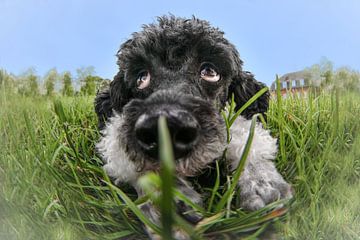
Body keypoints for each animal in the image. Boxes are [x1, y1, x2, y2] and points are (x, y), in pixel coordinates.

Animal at [94, 15, 292, 238]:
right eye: (141, 78)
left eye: (210, 72)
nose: (168, 129)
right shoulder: (112, 129)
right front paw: (168, 201)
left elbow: (245, 133)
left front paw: (261, 183)